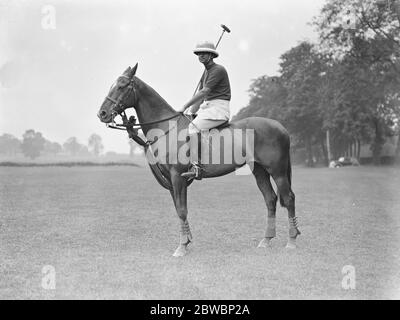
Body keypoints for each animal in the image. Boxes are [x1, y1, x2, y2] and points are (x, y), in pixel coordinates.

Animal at [97, 65, 300, 258]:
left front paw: (181, 247)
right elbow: (179, 209)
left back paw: (291, 241)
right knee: (270, 199)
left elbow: (182, 210)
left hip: (277, 171)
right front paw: (186, 241)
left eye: (122, 85)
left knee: (288, 198)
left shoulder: (177, 177)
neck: (166, 128)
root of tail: (282, 128)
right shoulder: (171, 181)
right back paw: (266, 240)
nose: (102, 113)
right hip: (259, 170)